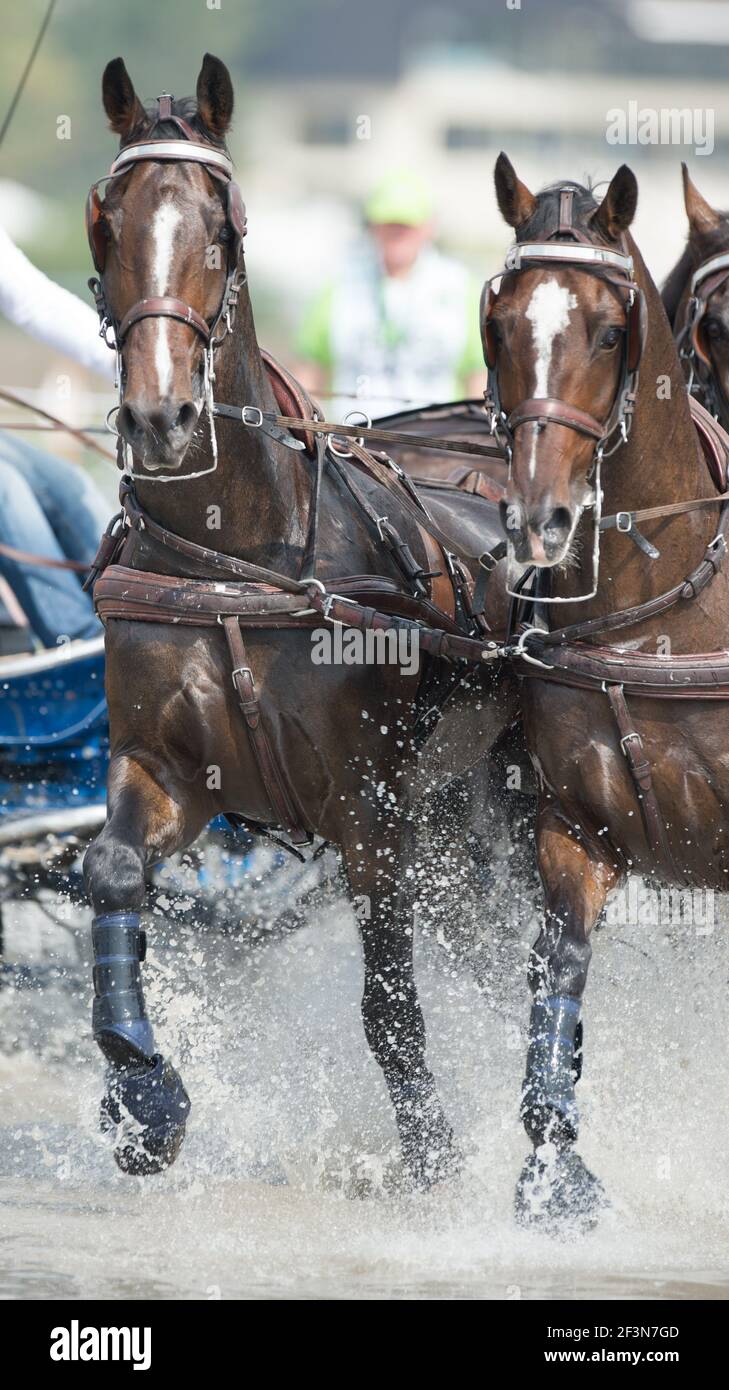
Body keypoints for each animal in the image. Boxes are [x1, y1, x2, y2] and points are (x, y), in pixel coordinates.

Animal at [82, 54, 514, 1184]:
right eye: (107, 219)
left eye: (222, 226)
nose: (161, 418)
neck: (243, 557)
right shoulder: (170, 767)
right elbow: (112, 871)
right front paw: (144, 1092)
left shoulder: (369, 807)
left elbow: (390, 1002)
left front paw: (432, 1157)